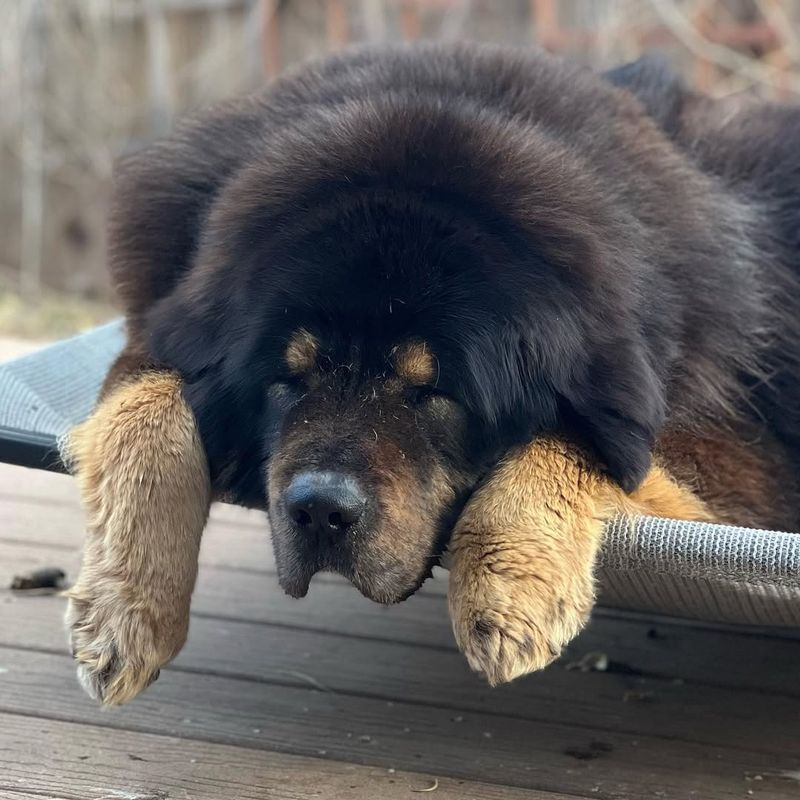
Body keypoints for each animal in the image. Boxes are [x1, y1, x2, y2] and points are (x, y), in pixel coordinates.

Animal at [65, 43, 800, 708]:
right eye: (287, 379)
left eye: (435, 392)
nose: (321, 509)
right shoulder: (158, 326)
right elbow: (142, 416)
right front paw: (123, 609)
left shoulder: (740, 460)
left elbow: (571, 440)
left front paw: (507, 585)